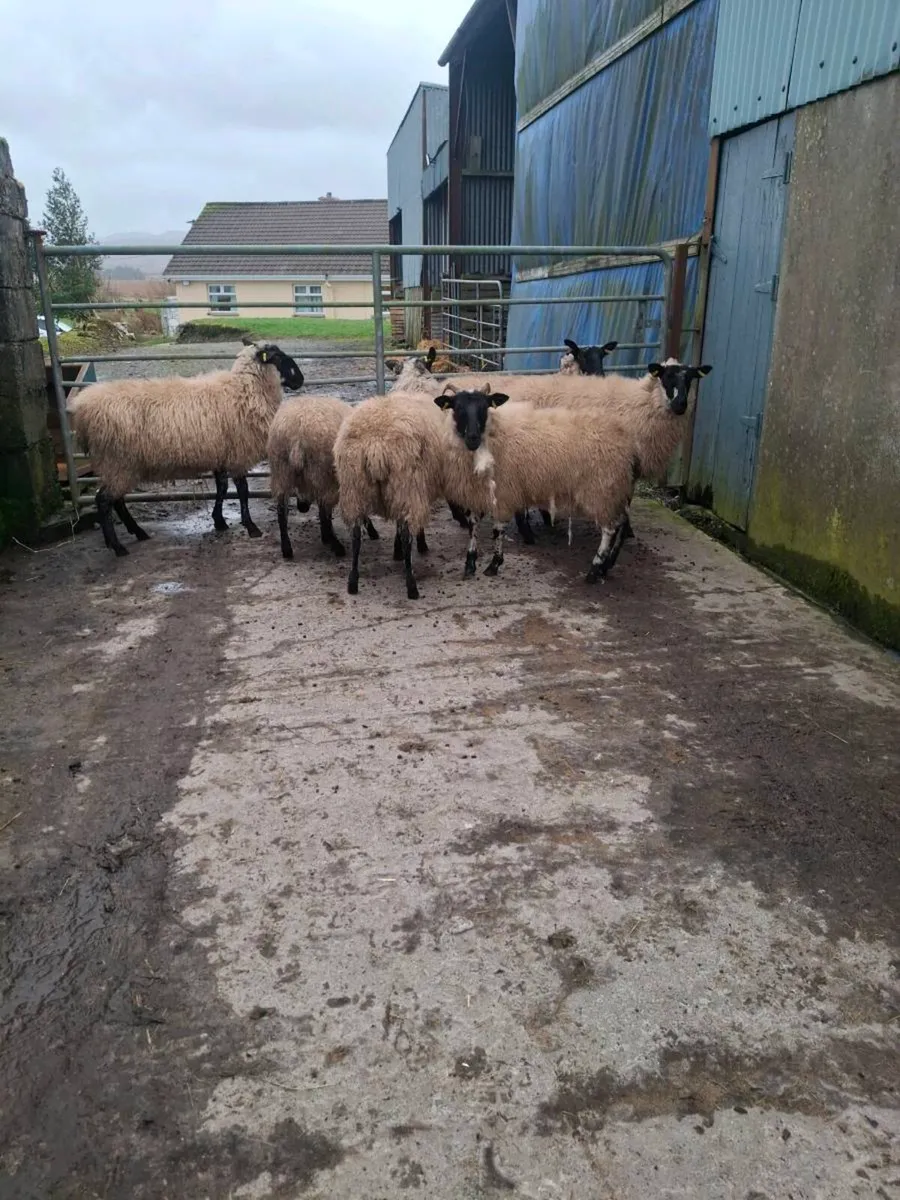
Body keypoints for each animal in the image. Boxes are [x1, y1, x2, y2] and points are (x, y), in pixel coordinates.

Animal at [68, 341, 304, 556]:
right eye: (277, 357)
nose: (300, 379)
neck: (244, 388)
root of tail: (83, 411)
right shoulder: (237, 452)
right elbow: (242, 490)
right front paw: (251, 527)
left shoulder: (221, 453)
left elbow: (222, 487)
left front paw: (219, 521)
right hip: (118, 461)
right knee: (103, 501)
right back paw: (118, 546)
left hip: (119, 465)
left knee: (115, 500)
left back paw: (137, 533)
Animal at [266, 393, 379, 560]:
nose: (302, 507)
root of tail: (297, 435)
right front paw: (371, 529)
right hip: (320, 472)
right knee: (324, 510)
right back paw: (336, 545)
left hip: (282, 470)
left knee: (281, 511)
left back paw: (287, 548)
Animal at [333, 391, 447, 600]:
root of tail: (375, 445)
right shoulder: (419, 488)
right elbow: (408, 526)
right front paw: (417, 546)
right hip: (406, 484)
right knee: (407, 533)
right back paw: (411, 585)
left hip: (353, 486)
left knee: (355, 534)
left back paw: (352, 581)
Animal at [435, 386, 636, 584]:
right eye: (457, 408)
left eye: (485, 407)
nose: (473, 438)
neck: (494, 435)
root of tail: (623, 436)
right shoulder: (477, 492)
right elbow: (473, 527)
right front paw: (470, 563)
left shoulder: (503, 492)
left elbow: (498, 530)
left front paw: (494, 564)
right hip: (614, 489)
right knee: (620, 524)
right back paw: (606, 565)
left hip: (601, 488)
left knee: (609, 529)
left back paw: (595, 569)